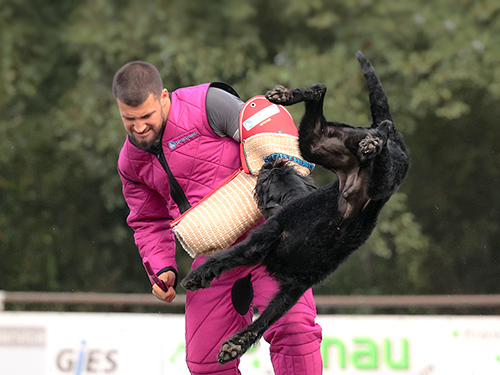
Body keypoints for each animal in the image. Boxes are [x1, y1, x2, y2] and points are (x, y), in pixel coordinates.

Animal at [182, 52, 408, 364]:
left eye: (265, 182)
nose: (269, 163)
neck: (291, 199)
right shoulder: (295, 286)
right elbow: (268, 316)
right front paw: (238, 344)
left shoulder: (262, 243)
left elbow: (225, 258)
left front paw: (197, 278)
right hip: (319, 142)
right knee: (324, 94)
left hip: (353, 164)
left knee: (378, 124)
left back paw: (372, 139)